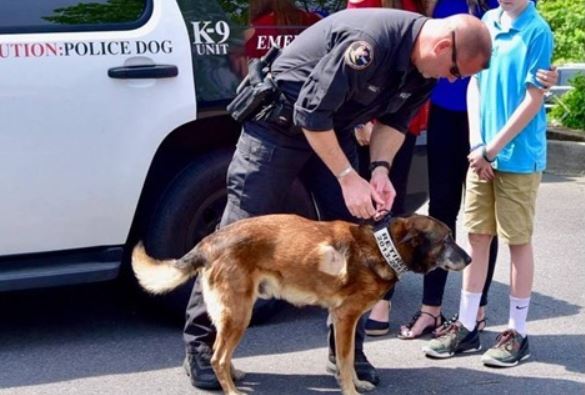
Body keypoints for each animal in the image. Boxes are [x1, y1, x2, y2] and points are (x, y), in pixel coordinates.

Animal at [131, 215, 470, 394]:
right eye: (447, 240)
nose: (469, 259)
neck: (383, 250)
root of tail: (209, 242)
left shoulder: (343, 321)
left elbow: (347, 359)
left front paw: (357, 381)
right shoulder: (345, 318)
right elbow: (345, 361)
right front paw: (350, 389)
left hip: (234, 314)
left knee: (222, 354)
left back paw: (234, 374)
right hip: (240, 314)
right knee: (216, 357)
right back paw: (231, 389)